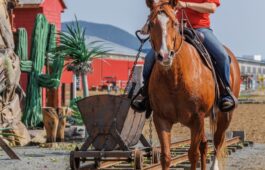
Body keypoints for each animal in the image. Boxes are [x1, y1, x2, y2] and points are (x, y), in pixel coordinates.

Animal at [145, 0, 240, 170]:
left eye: (175, 23)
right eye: (150, 24)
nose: (164, 56)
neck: (175, 79)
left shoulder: (197, 118)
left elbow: (192, 155)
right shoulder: (161, 118)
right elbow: (166, 157)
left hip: (225, 115)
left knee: (217, 141)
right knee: (204, 145)